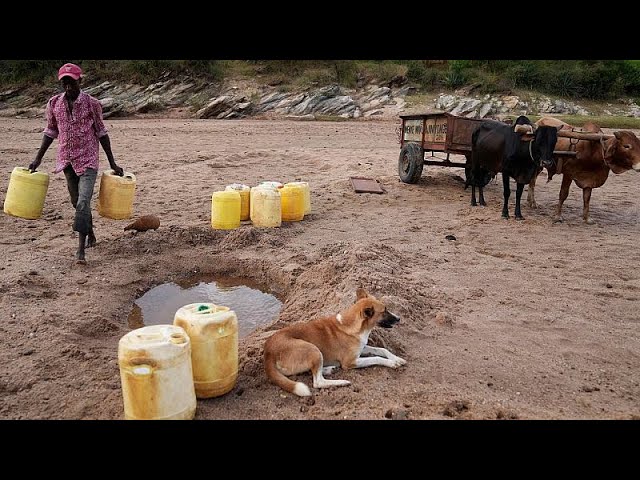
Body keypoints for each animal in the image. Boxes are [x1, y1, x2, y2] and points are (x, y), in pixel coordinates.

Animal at [264, 286, 404, 396]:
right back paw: (341, 382)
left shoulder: (362, 347)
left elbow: (381, 350)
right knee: (318, 382)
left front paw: (397, 358)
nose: (399, 318)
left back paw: (329, 369)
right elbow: (375, 358)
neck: (353, 325)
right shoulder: (350, 362)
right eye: (384, 310)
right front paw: (392, 363)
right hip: (313, 349)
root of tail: (268, 351)